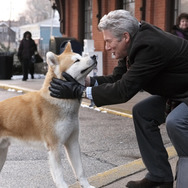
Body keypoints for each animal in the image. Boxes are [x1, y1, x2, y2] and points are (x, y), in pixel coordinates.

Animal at [0, 42, 96, 188]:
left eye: (81, 56)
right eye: (76, 60)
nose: (94, 56)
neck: (58, 100)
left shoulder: (72, 142)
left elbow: (80, 170)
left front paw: (87, 185)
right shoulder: (54, 146)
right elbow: (59, 173)